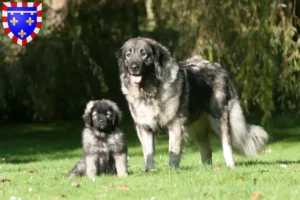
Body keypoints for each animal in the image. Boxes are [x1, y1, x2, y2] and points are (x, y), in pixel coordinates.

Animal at [116, 37, 268, 170]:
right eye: (128, 54)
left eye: (144, 54)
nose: (133, 67)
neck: (150, 91)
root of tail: (219, 67)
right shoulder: (144, 127)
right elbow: (148, 153)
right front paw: (149, 171)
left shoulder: (175, 124)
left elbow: (173, 150)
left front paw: (172, 171)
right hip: (197, 128)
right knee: (206, 148)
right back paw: (206, 169)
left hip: (218, 119)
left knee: (226, 144)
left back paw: (230, 165)